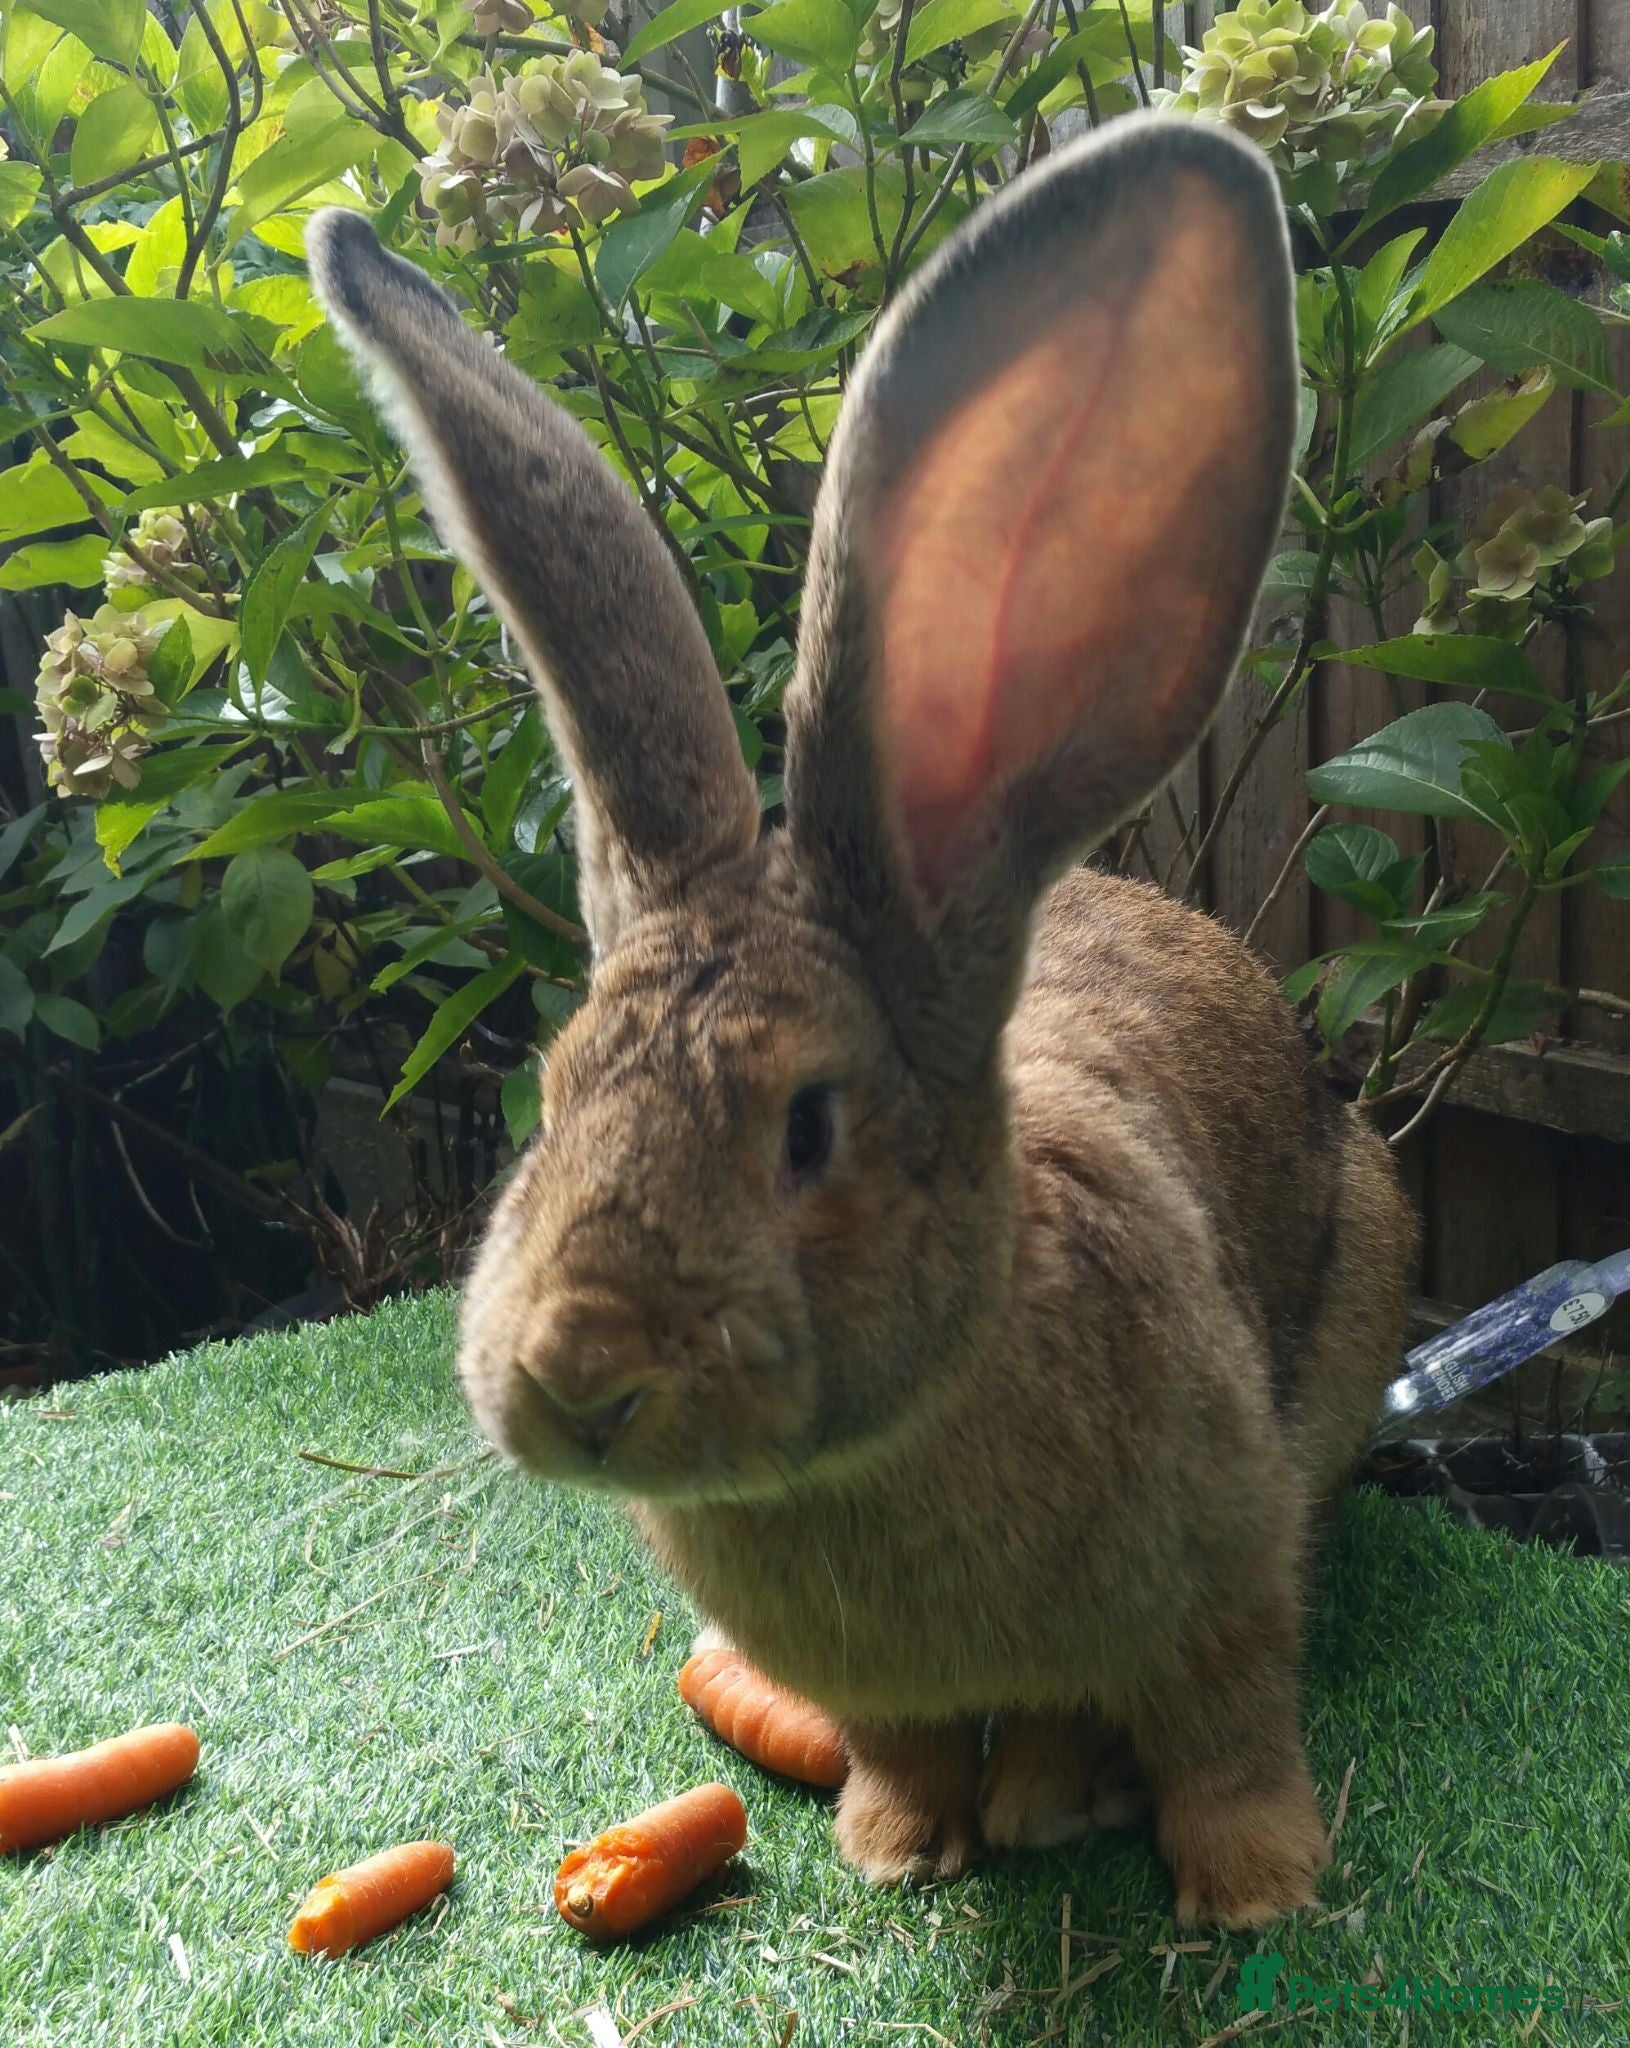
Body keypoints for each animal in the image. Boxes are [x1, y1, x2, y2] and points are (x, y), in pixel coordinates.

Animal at [307, 110, 1416, 1930]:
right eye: (550, 1101)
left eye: (808, 1127)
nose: (576, 1370)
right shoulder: (884, 1686)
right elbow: (903, 1745)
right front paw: (893, 1850)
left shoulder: (1231, 1570)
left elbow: (1228, 1728)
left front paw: (1255, 1888)